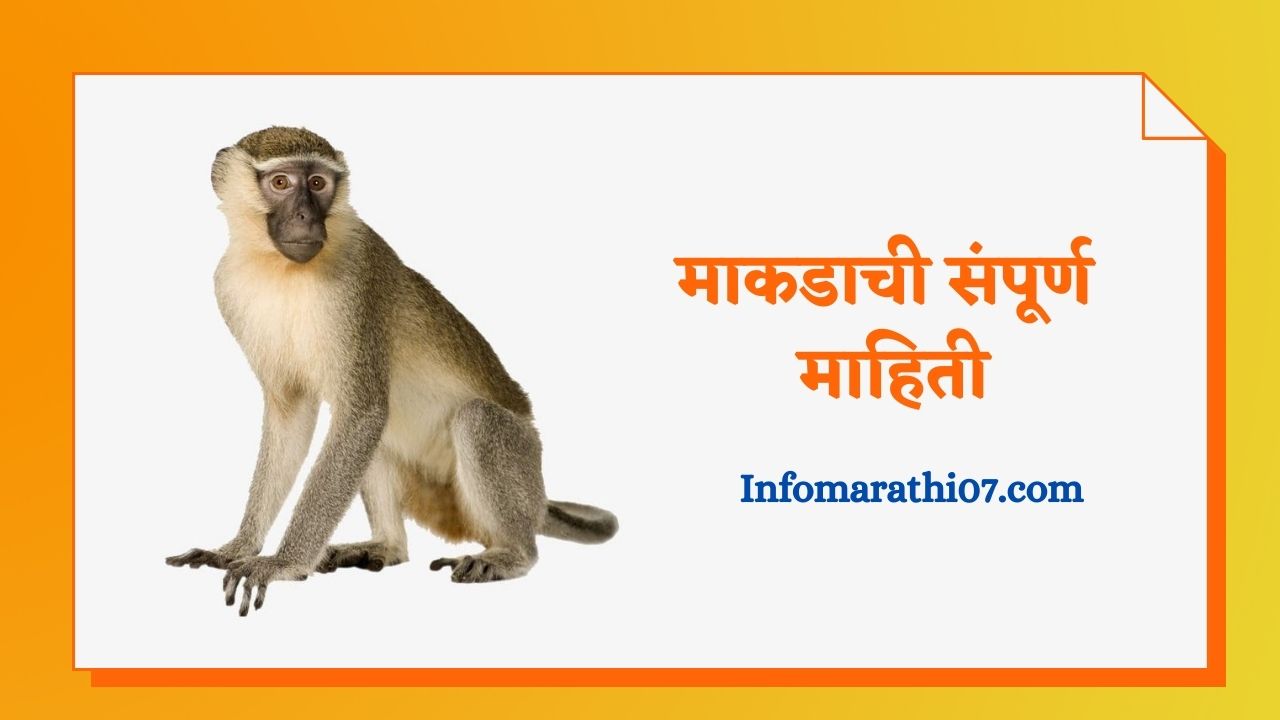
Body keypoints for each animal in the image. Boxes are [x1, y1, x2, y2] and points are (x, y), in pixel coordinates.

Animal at [165, 126, 618, 616]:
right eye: (281, 183)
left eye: (319, 183)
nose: (305, 216)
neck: (280, 268)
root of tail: (537, 498)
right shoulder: (228, 286)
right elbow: (294, 416)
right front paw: (237, 547)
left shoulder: (355, 279)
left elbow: (362, 412)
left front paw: (282, 563)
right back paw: (386, 545)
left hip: (519, 460)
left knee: (473, 419)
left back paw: (512, 553)